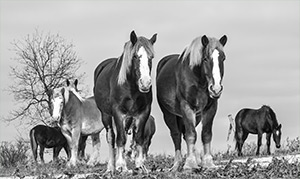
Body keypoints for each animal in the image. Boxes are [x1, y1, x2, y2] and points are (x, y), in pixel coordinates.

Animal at [94, 30, 157, 174]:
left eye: (151, 57)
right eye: (135, 56)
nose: (145, 83)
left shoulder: (142, 113)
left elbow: (138, 139)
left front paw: (140, 165)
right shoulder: (118, 113)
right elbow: (120, 139)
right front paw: (121, 166)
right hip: (106, 116)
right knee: (111, 138)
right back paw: (111, 167)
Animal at [157, 34, 227, 171]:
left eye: (223, 58)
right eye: (205, 58)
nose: (216, 89)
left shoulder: (210, 108)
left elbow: (206, 134)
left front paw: (208, 163)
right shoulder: (186, 107)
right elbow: (191, 135)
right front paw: (189, 165)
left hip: (196, 115)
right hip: (169, 114)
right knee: (176, 135)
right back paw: (177, 164)